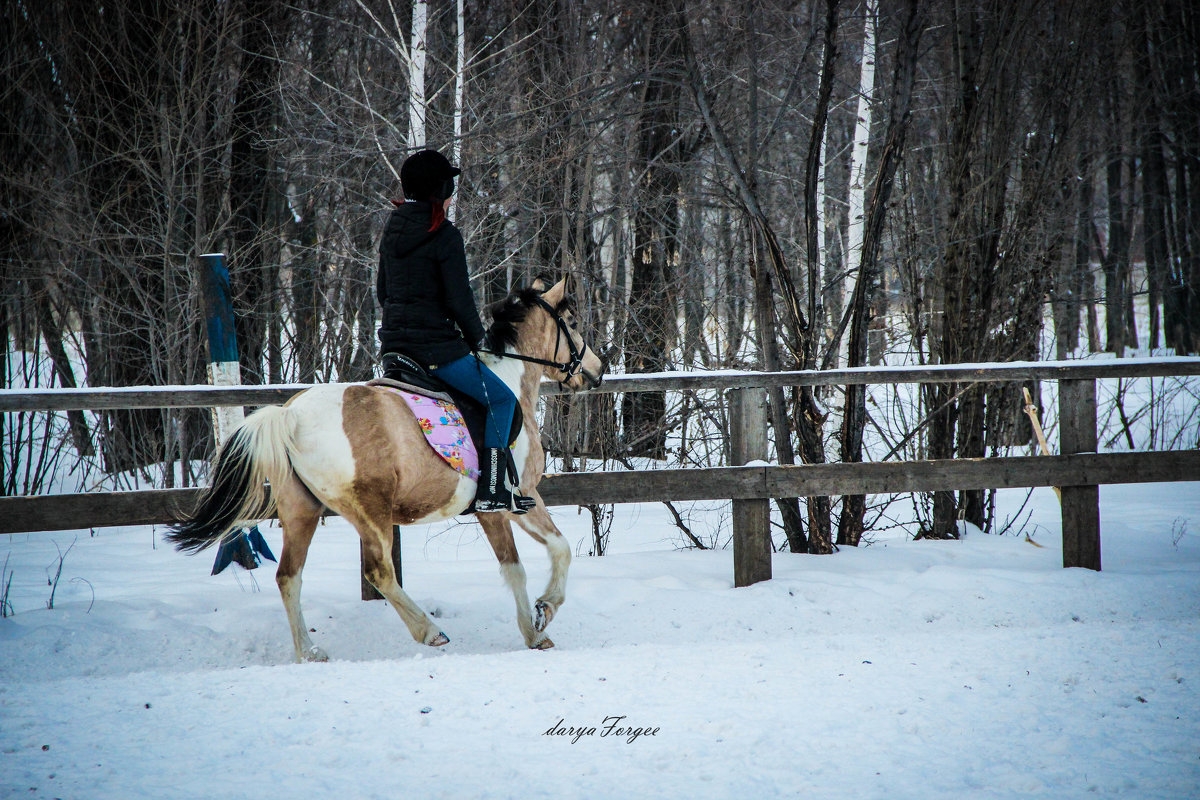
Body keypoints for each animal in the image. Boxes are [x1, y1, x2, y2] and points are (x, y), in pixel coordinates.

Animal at [164, 278, 604, 662]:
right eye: (573, 322)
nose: (598, 370)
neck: (510, 383)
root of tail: (290, 415)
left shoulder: (510, 504)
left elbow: (548, 553)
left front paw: (542, 616)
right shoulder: (505, 503)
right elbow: (529, 563)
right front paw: (538, 624)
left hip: (301, 511)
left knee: (289, 576)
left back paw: (310, 652)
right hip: (370, 510)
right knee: (379, 572)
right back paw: (429, 631)